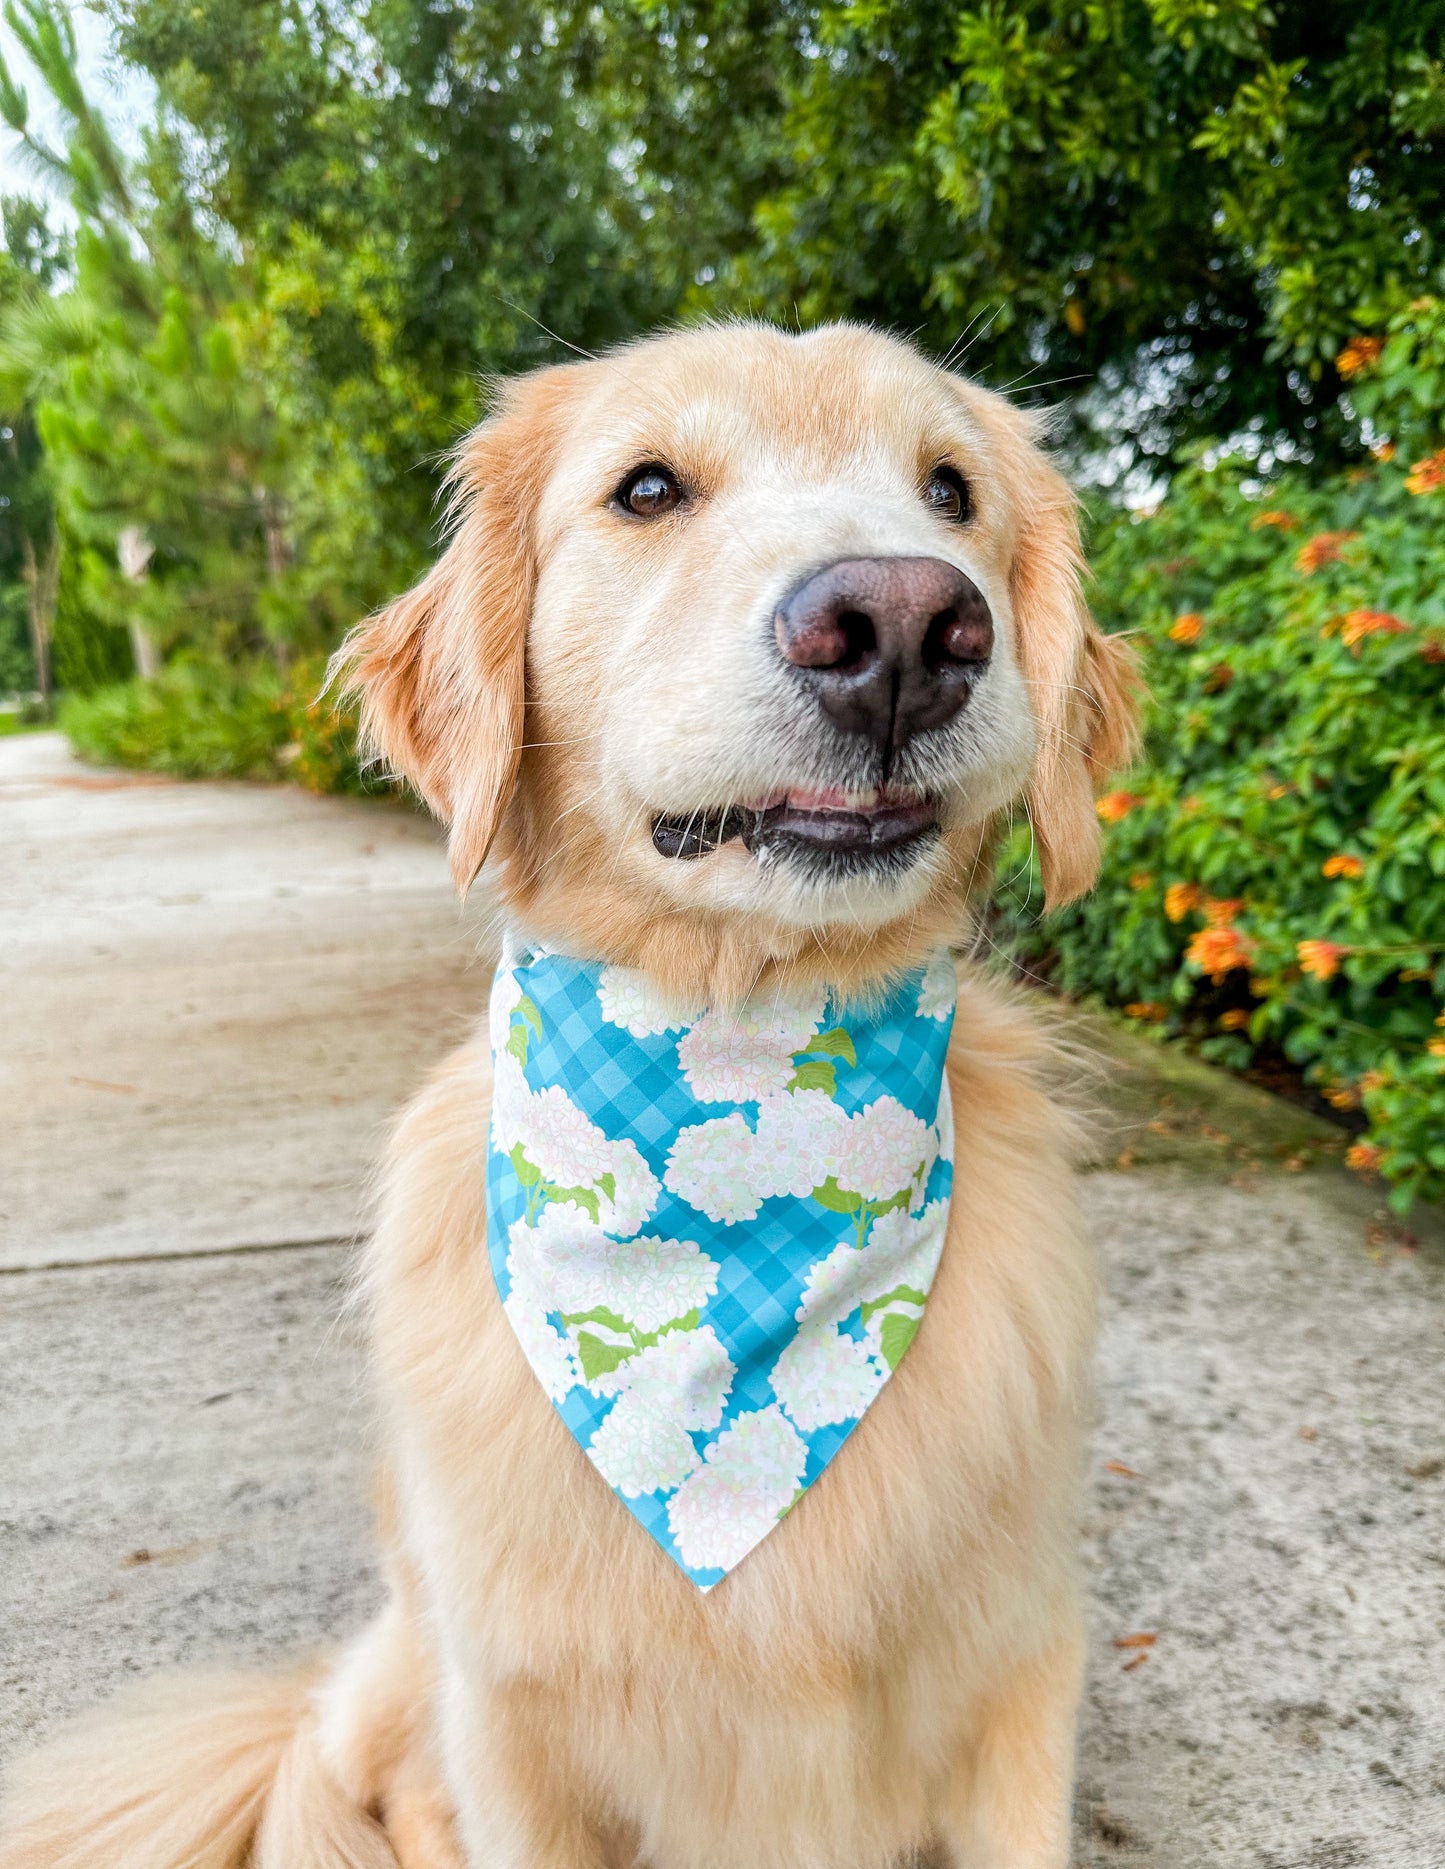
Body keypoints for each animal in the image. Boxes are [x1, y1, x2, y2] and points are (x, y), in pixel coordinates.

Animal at [0, 325, 1136, 1869]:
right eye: (645, 488)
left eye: (951, 492)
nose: (905, 624)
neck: (737, 1057)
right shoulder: (514, 1711)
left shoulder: (1022, 1671)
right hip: (411, 1663)